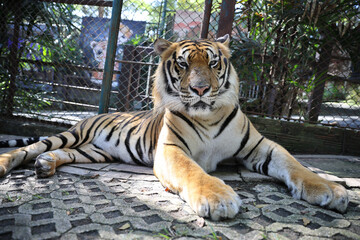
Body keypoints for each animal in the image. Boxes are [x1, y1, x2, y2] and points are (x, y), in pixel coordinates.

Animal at [0, 34, 348, 220]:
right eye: (183, 64)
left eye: (213, 63)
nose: (200, 89)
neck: (208, 115)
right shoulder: (171, 149)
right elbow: (193, 171)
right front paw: (219, 199)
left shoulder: (260, 147)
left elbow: (295, 164)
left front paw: (331, 190)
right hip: (72, 133)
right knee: (30, 147)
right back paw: (11, 163)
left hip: (92, 152)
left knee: (64, 154)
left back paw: (45, 166)